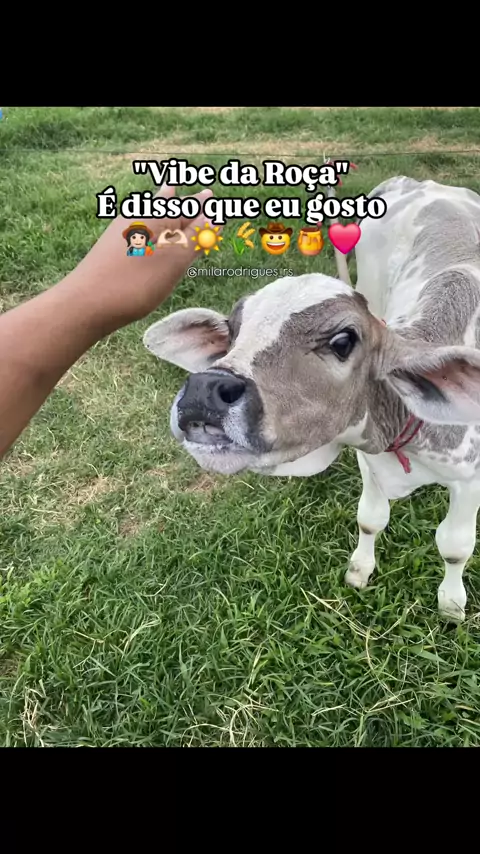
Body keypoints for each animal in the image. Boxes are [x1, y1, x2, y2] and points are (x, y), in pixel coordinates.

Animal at [143, 176, 480, 623]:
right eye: (233, 331)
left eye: (342, 341)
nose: (202, 391)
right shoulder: (366, 454)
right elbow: (371, 519)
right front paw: (360, 569)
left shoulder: (470, 481)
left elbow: (455, 547)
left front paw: (452, 605)